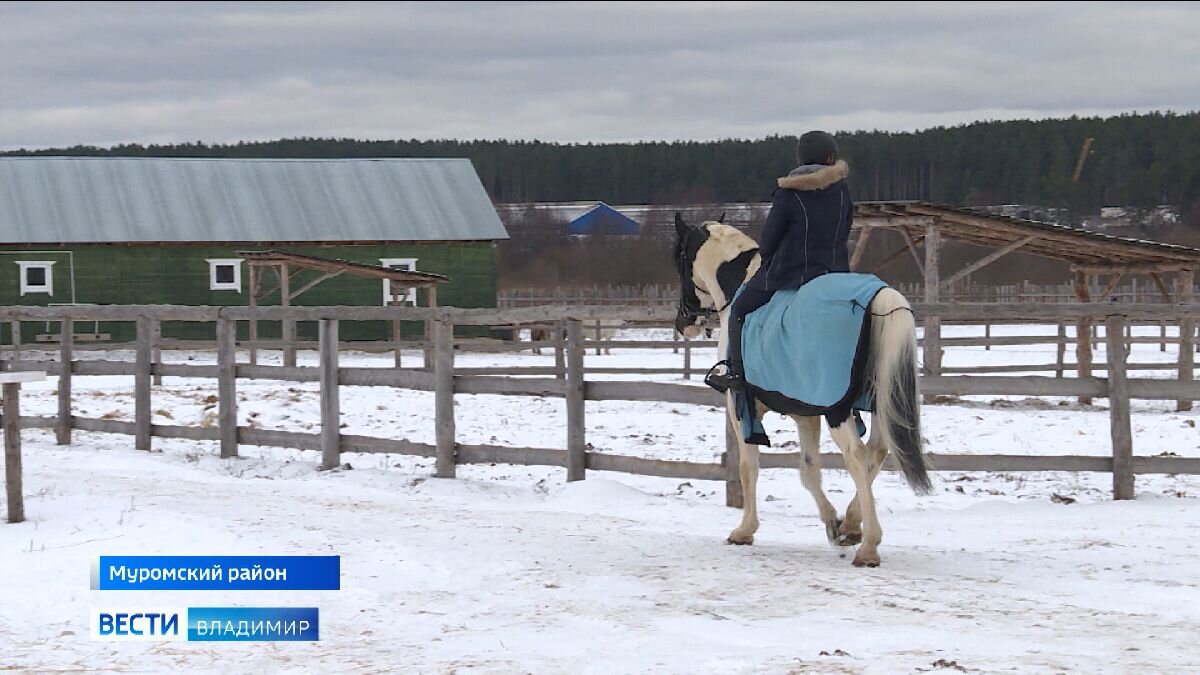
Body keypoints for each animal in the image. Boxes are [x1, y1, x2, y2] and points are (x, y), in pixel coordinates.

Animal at [672, 212, 931, 564]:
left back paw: (868, 546)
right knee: (877, 451)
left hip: (838, 410)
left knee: (857, 455)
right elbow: (809, 470)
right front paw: (835, 524)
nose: (683, 322)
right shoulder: (804, 411)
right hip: (881, 401)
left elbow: (748, 466)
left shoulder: (741, 405)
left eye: (681, 259)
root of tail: (877, 297)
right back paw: (853, 524)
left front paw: (745, 530)